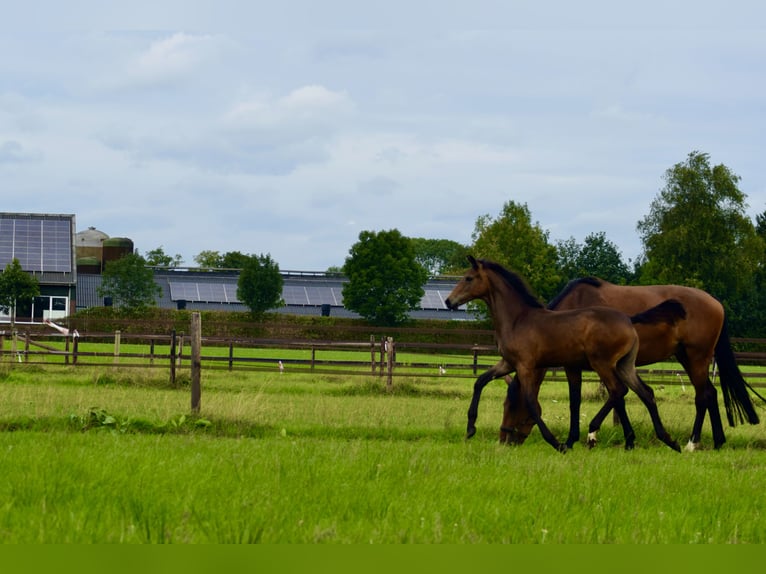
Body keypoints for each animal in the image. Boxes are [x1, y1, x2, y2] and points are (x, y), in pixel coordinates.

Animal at [448, 258, 680, 454]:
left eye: (468, 278)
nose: (450, 302)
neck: (517, 319)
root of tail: (629, 320)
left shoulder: (525, 366)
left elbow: (532, 403)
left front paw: (557, 443)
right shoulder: (508, 363)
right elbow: (480, 381)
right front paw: (470, 429)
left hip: (602, 364)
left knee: (618, 391)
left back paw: (601, 433)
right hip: (625, 365)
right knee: (643, 392)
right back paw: (666, 441)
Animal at [508, 280, 764, 454]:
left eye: (511, 406)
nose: (506, 439)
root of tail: (716, 303)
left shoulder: (578, 366)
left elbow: (581, 401)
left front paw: (575, 440)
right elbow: (616, 402)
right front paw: (629, 440)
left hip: (697, 357)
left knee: (703, 396)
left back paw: (692, 442)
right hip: (687, 358)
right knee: (710, 393)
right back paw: (718, 441)